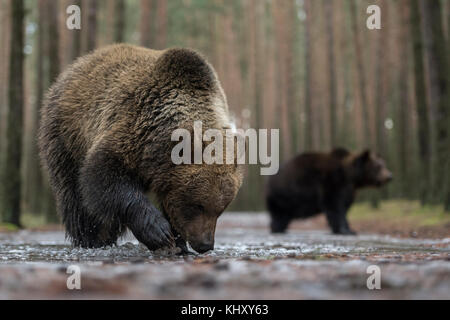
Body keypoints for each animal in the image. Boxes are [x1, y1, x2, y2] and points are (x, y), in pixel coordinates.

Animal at [38, 43, 243, 254]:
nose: (205, 245)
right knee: (75, 198)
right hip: (67, 135)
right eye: (198, 205)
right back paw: (92, 239)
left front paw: (177, 242)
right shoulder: (131, 132)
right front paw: (159, 232)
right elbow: (103, 176)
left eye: (220, 209)